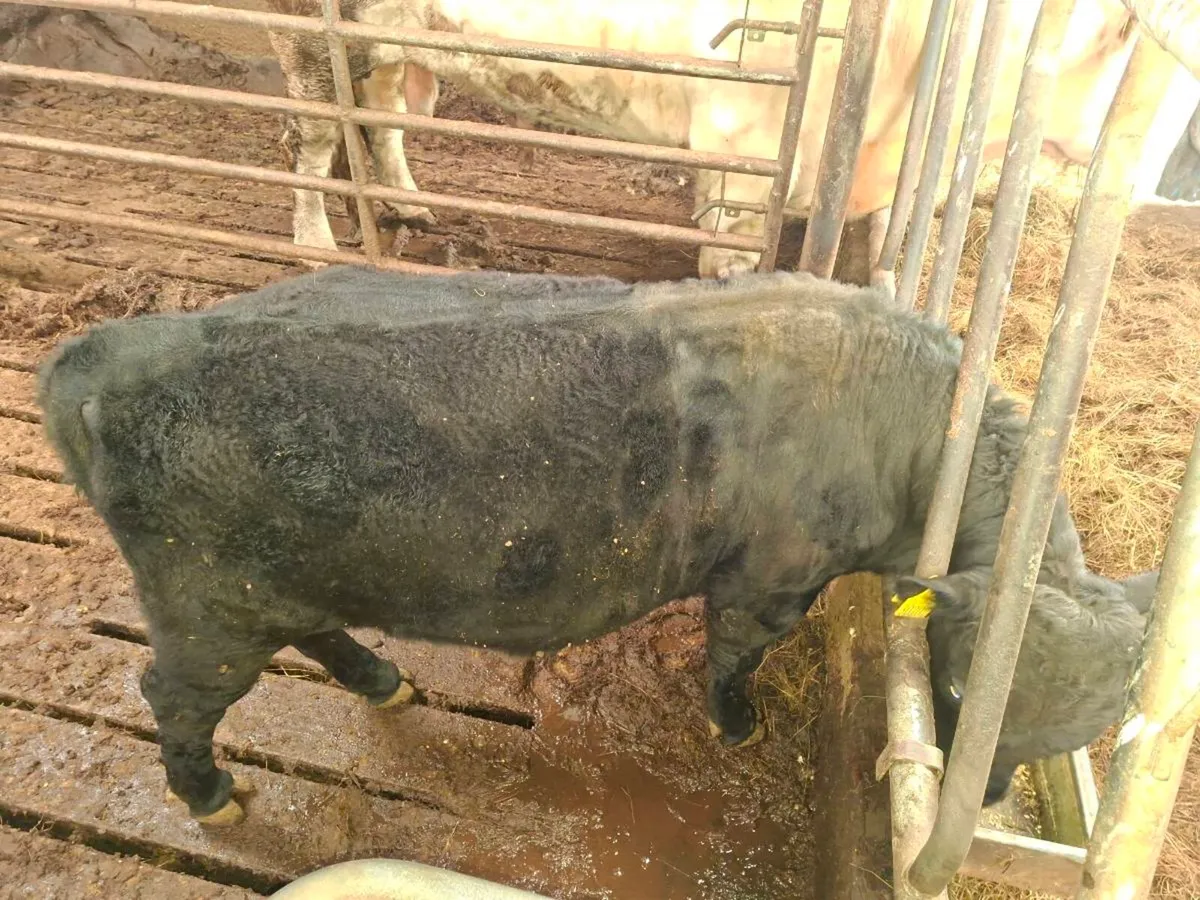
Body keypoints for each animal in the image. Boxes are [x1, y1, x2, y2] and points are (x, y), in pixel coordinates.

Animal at [38, 265, 1159, 826]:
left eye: (1078, 736)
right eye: (960, 692)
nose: (986, 805)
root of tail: (113, 346)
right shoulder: (770, 578)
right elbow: (736, 657)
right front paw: (736, 724)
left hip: (274, 590)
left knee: (318, 637)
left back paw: (385, 683)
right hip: (207, 607)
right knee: (170, 698)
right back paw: (210, 798)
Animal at [265, 0, 1198, 279]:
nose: (1149, 175)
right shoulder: (743, 135)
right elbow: (735, 255)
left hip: (387, 46)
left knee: (379, 119)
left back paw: (406, 207)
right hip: (310, 34)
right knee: (311, 137)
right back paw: (315, 240)